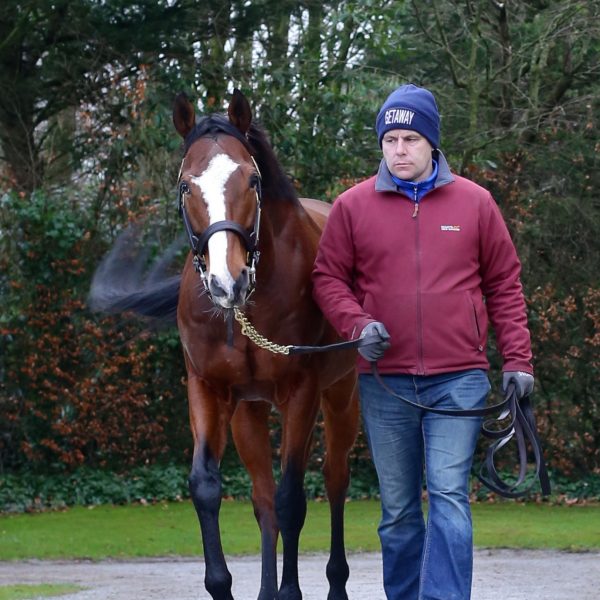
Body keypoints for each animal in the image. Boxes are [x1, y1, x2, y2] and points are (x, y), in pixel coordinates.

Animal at [91, 90, 358, 600]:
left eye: (252, 179)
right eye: (185, 186)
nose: (225, 281)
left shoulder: (302, 394)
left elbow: (294, 498)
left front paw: (291, 593)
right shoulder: (208, 390)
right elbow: (207, 487)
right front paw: (223, 583)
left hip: (341, 395)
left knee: (334, 481)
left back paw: (335, 584)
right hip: (247, 411)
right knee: (263, 497)